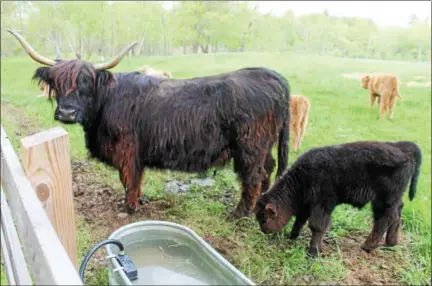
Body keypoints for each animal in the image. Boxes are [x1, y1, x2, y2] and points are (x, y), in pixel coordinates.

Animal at [10, 29, 292, 217]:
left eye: (86, 84)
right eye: (57, 84)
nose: (66, 113)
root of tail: (269, 74)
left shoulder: (127, 149)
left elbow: (129, 178)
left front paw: (130, 207)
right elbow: (135, 179)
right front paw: (139, 201)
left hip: (250, 145)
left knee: (253, 176)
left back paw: (240, 213)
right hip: (262, 145)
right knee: (267, 169)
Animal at [255, 141, 420, 256]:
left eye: (264, 218)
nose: (264, 230)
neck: (301, 178)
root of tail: (403, 148)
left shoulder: (322, 204)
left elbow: (317, 225)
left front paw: (313, 252)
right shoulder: (308, 204)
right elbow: (300, 220)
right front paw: (293, 236)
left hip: (383, 201)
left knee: (384, 219)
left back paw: (367, 246)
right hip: (393, 199)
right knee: (397, 214)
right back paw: (391, 243)